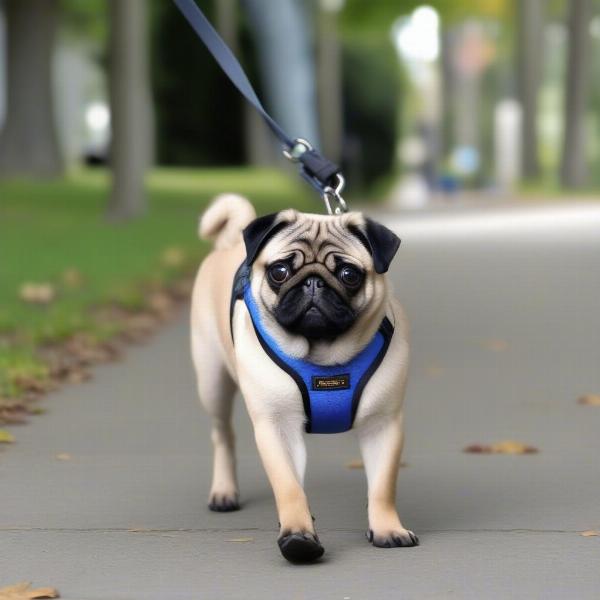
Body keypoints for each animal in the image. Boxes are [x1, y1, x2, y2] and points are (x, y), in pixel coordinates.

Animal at [192, 193, 418, 564]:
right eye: (280, 272)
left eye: (348, 274)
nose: (313, 282)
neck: (324, 354)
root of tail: (227, 244)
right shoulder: (277, 426)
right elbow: (289, 487)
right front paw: (298, 535)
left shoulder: (383, 424)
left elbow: (383, 486)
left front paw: (387, 529)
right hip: (213, 382)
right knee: (222, 434)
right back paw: (224, 492)